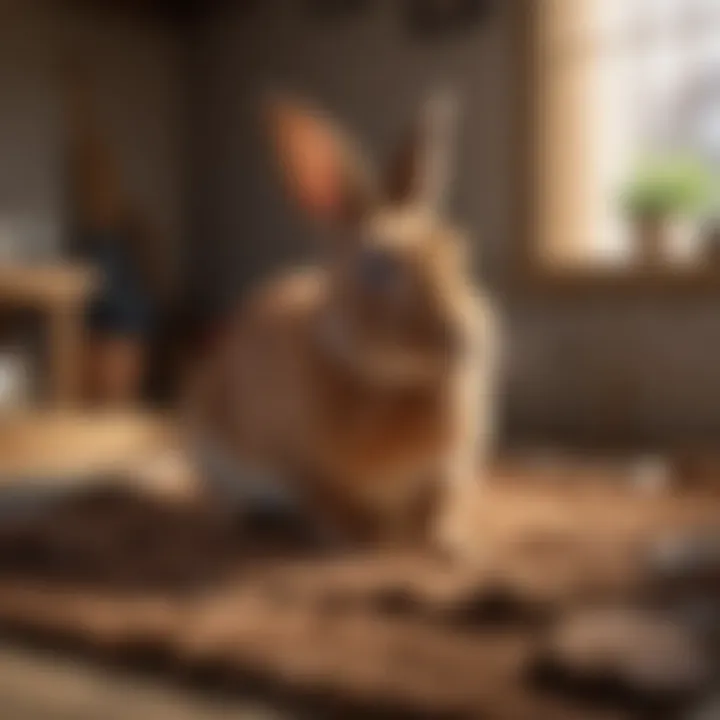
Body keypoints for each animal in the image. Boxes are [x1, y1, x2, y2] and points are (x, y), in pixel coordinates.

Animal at [184, 91, 500, 564]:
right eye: (377, 268)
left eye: (455, 251)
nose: (463, 338)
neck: (390, 382)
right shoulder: (303, 464)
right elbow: (330, 504)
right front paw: (360, 543)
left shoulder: (445, 469)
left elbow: (435, 509)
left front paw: (452, 547)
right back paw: (244, 523)